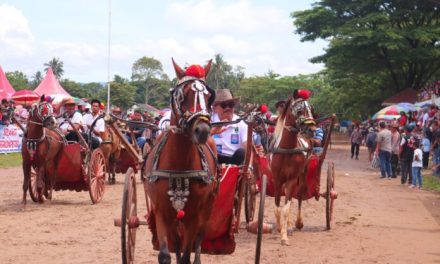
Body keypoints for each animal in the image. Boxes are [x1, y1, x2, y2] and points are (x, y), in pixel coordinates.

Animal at [145, 58, 217, 262]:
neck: (179, 166)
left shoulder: (194, 216)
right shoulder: (161, 213)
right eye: (183, 95)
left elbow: (186, 255)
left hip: (207, 209)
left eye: (209, 96)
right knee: (176, 242)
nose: (202, 130)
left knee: (198, 242)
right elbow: (165, 254)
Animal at [270, 96, 314, 245]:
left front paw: (284, 236)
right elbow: (277, 207)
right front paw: (279, 227)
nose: (312, 129)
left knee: (299, 194)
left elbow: (286, 208)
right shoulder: (277, 179)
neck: (287, 150)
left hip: (303, 173)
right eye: (299, 110)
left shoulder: (291, 179)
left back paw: (297, 223)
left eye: (311, 109)